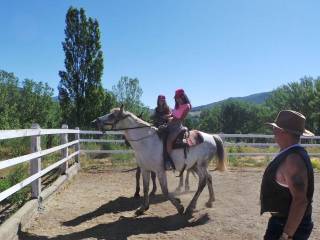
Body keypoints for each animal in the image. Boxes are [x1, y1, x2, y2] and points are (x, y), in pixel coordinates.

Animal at [92, 106, 228, 215]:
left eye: (112, 115)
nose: (94, 121)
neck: (146, 141)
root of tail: (211, 137)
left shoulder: (159, 170)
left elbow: (165, 190)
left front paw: (179, 206)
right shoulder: (145, 169)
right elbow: (146, 188)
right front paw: (143, 207)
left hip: (200, 165)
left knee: (203, 182)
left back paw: (190, 206)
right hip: (196, 166)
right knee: (208, 178)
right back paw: (210, 201)